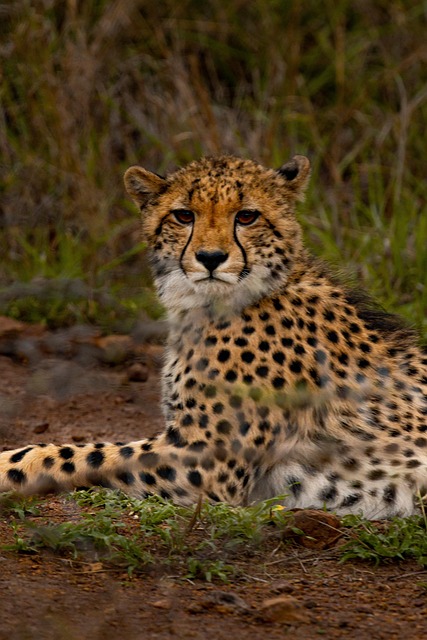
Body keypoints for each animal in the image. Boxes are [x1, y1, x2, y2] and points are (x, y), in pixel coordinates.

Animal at [0, 154, 426, 519]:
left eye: (247, 216)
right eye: (184, 215)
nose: (210, 258)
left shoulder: (206, 461)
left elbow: (80, 455)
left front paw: (8, 464)